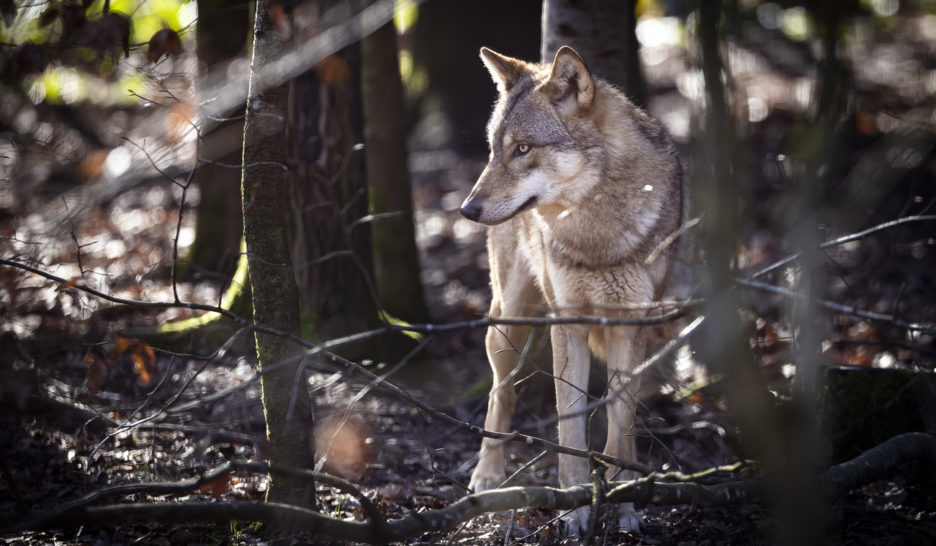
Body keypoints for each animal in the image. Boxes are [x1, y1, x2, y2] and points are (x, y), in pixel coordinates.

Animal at [458, 45, 680, 532]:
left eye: (523, 149)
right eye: (493, 151)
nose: (467, 209)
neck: (597, 234)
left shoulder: (629, 325)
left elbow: (620, 424)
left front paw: (625, 502)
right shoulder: (568, 324)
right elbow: (570, 425)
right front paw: (576, 509)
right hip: (507, 321)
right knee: (500, 391)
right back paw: (487, 475)